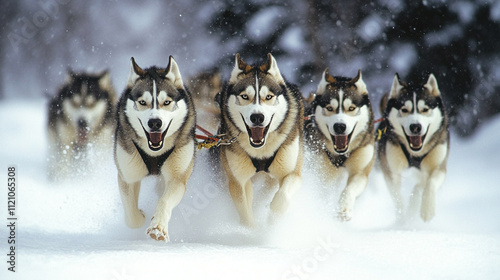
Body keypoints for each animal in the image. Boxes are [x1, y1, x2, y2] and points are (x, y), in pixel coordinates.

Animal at [114, 57, 196, 241]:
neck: (154, 152)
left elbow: (164, 201)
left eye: (166, 102)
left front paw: (157, 228)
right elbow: (132, 218)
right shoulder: (128, 176)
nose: (155, 123)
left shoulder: (177, 178)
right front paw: (141, 216)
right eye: (142, 102)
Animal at [219, 53, 304, 226]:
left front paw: (272, 219)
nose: (257, 117)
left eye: (269, 96)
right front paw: (251, 230)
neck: (261, 151)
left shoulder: (292, 172)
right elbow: (245, 214)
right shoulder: (238, 181)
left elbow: (281, 198)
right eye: (245, 96)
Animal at [302, 69, 374, 221]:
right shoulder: (318, 173)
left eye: (351, 108)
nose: (340, 126)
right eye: (330, 108)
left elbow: (349, 189)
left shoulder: (360, 171)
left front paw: (344, 209)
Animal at [376, 73, 452, 222]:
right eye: (404, 110)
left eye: (425, 109)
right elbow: (397, 197)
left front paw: (426, 209)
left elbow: (429, 183)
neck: (415, 154)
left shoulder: (439, 166)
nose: (415, 127)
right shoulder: (391, 170)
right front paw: (403, 219)